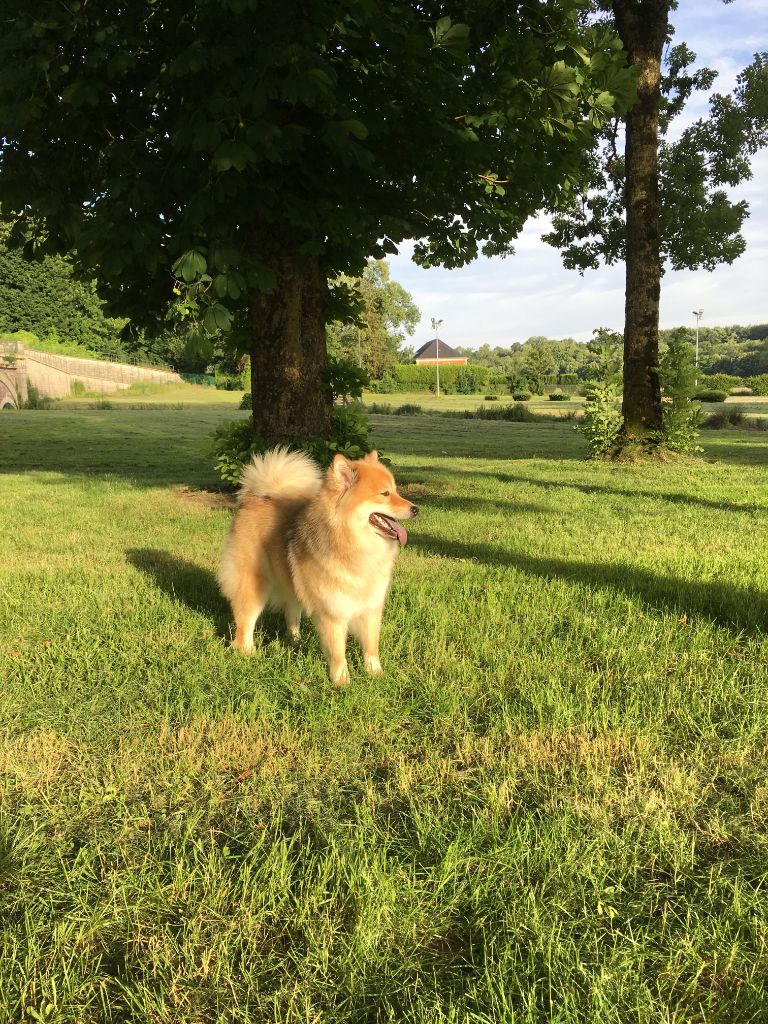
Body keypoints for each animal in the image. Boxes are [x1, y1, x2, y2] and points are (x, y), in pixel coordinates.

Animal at [217, 446, 421, 679]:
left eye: (396, 491)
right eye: (385, 494)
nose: (416, 509)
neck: (352, 543)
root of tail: (258, 497)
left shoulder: (371, 607)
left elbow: (371, 646)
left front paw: (376, 674)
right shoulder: (333, 611)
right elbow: (338, 652)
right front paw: (342, 681)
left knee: (291, 613)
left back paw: (294, 640)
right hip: (254, 584)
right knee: (245, 621)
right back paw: (248, 652)